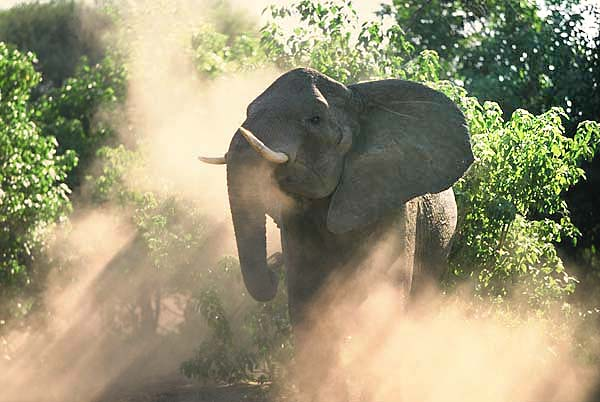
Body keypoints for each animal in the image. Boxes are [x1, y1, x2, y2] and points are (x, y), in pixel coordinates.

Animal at [200, 66, 474, 398]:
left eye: (315, 119)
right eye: (248, 111)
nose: (274, 265)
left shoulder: (392, 203)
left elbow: (383, 293)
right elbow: (306, 300)